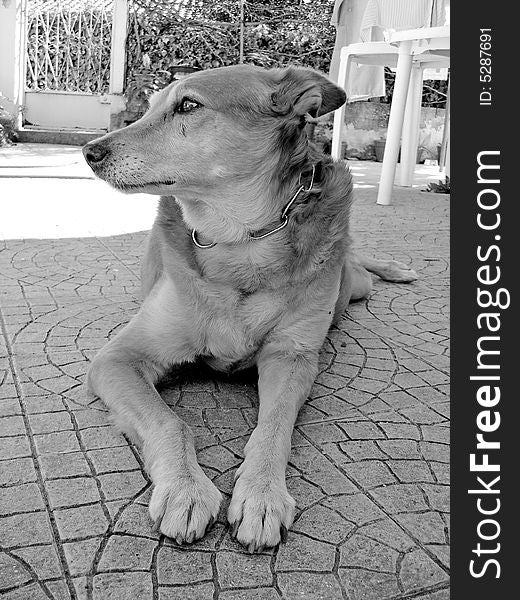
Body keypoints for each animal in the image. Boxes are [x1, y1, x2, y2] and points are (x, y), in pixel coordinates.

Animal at [84, 64, 418, 548]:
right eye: (148, 107)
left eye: (188, 105)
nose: (89, 151)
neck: (239, 242)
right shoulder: (117, 359)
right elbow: (170, 422)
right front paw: (184, 489)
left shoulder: (292, 358)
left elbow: (274, 425)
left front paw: (261, 494)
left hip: (352, 286)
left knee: (358, 264)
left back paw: (394, 268)